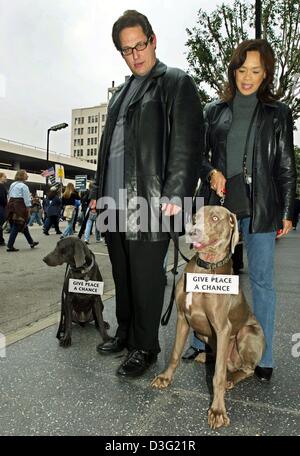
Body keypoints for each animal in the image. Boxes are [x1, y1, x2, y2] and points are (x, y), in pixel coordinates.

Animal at [152, 208, 264, 430]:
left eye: (215, 218)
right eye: (195, 218)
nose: (192, 232)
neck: (206, 267)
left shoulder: (222, 328)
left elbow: (218, 375)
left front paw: (218, 411)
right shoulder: (182, 318)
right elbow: (174, 353)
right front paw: (165, 378)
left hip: (247, 333)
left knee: (245, 369)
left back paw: (232, 377)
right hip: (200, 332)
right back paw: (205, 356)